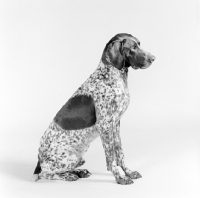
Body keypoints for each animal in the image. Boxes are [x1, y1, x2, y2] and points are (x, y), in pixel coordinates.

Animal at [31, 32, 156, 184]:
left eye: (139, 44)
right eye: (133, 48)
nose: (153, 58)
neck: (112, 77)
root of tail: (39, 160)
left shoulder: (116, 124)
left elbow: (120, 153)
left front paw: (129, 172)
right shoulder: (105, 125)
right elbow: (111, 159)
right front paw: (120, 177)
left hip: (79, 157)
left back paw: (80, 172)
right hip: (68, 158)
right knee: (45, 174)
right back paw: (68, 176)